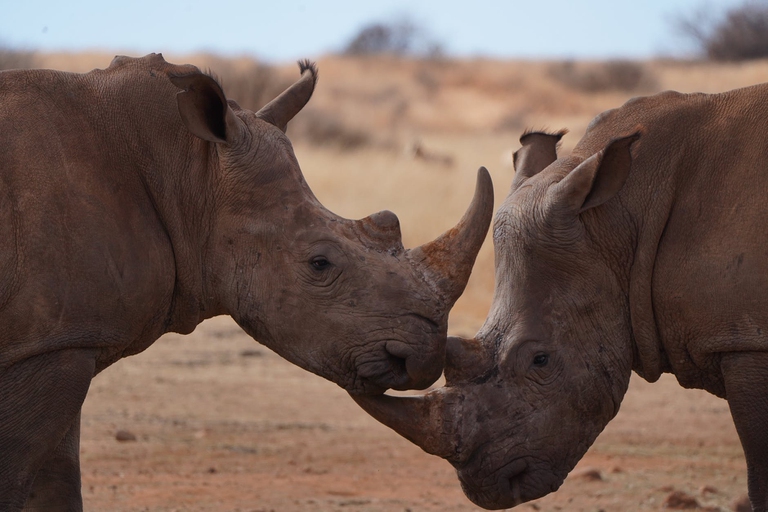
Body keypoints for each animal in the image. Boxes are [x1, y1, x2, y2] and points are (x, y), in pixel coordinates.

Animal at [0, 54, 494, 511]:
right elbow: (19, 473)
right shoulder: (51, 343)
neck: (188, 172)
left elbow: (58, 482)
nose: (422, 359)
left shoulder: (67, 337)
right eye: (320, 264)